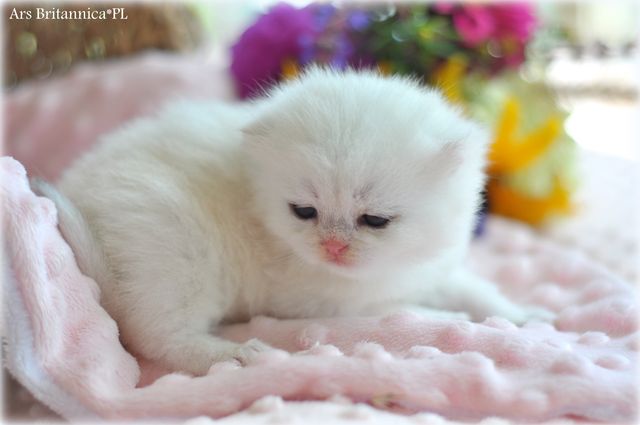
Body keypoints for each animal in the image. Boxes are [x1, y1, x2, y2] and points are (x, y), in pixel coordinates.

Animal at [36, 67, 552, 376]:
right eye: (305, 212)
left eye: (375, 220)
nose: (333, 248)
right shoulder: (316, 299)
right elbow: (398, 313)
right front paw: (449, 320)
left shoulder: (428, 268)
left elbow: (475, 289)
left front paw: (523, 315)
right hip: (173, 245)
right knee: (156, 337)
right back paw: (232, 353)